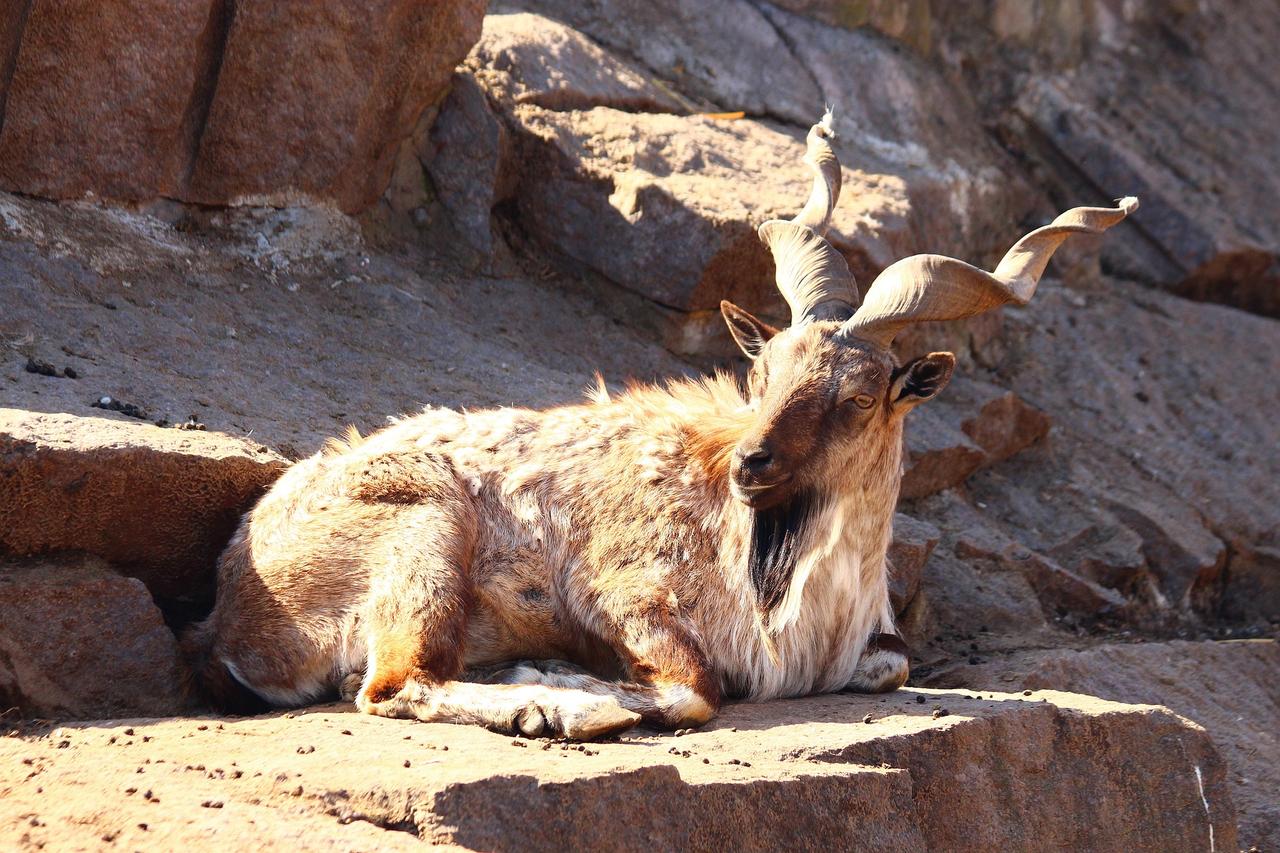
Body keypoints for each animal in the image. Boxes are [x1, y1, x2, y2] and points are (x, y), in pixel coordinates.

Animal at [183, 112, 1136, 739]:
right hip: (424, 526)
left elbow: (894, 663)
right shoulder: (623, 590)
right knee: (391, 683)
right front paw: (559, 676)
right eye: (761, 372)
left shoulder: (870, 647)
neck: (794, 590)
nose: (753, 464)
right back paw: (554, 705)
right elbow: (694, 689)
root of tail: (233, 604)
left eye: (862, 397)